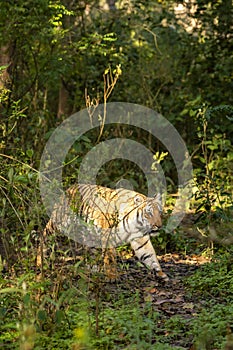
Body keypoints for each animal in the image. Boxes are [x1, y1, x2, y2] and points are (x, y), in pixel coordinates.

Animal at [38, 183, 169, 282]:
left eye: (159, 213)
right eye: (149, 213)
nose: (159, 226)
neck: (136, 224)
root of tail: (70, 188)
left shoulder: (141, 240)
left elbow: (150, 255)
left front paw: (160, 274)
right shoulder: (108, 236)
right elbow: (110, 257)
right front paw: (112, 276)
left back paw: (92, 268)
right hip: (59, 224)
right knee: (44, 236)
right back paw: (40, 261)